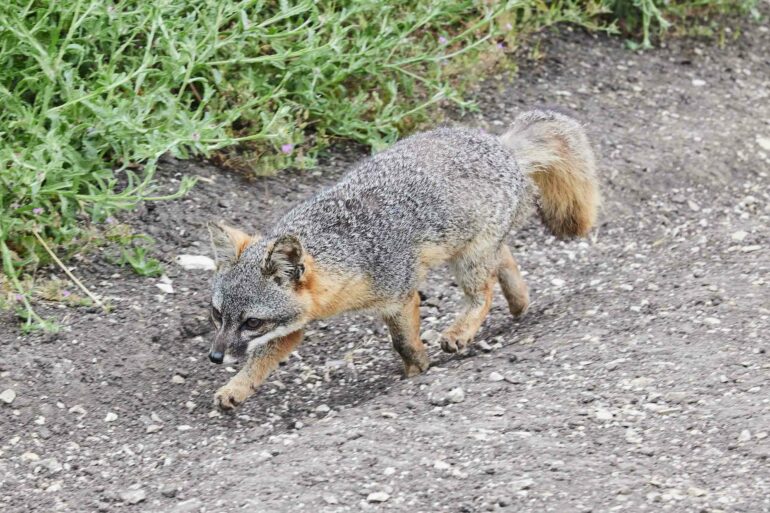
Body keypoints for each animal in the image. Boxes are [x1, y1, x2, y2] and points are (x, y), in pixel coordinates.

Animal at [206, 109, 599, 411]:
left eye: (252, 322)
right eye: (217, 315)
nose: (215, 357)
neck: (347, 252)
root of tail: (500, 145)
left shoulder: (399, 296)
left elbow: (403, 342)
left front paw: (417, 368)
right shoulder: (295, 322)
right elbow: (261, 359)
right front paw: (237, 388)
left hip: (468, 259)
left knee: (483, 293)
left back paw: (460, 332)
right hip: (471, 248)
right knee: (504, 259)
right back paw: (519, 302)